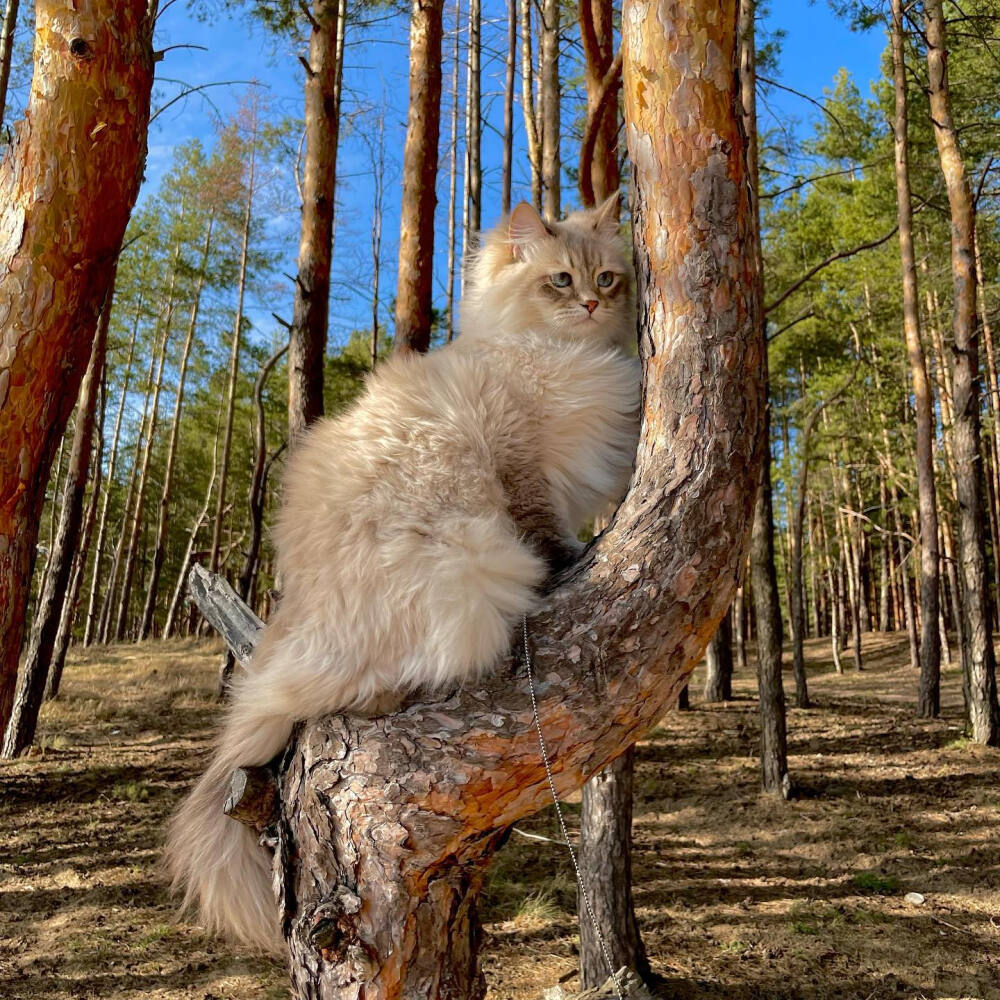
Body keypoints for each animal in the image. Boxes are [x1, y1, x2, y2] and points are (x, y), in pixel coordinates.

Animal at [164, 191, 640, 948]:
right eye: (561, 281)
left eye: (608, 280)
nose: (594, 306)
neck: (563, 354)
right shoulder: (519, 461)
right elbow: (542, 527)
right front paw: (569, 560)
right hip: (472, 570)